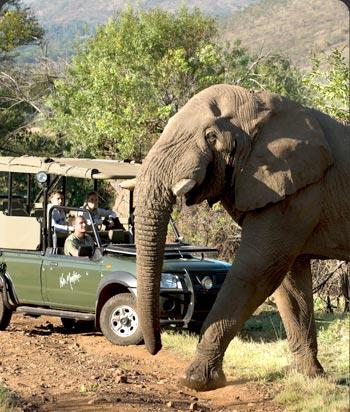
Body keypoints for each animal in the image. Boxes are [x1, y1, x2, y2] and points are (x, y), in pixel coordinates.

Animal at [133, 83, 348, 390]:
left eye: (211, 137)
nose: (155, 348)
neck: (263, 108)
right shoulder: (289, 191)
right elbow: (290, 284)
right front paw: (310, 377)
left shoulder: (301, 192)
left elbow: (257, 270)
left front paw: (196, 380)